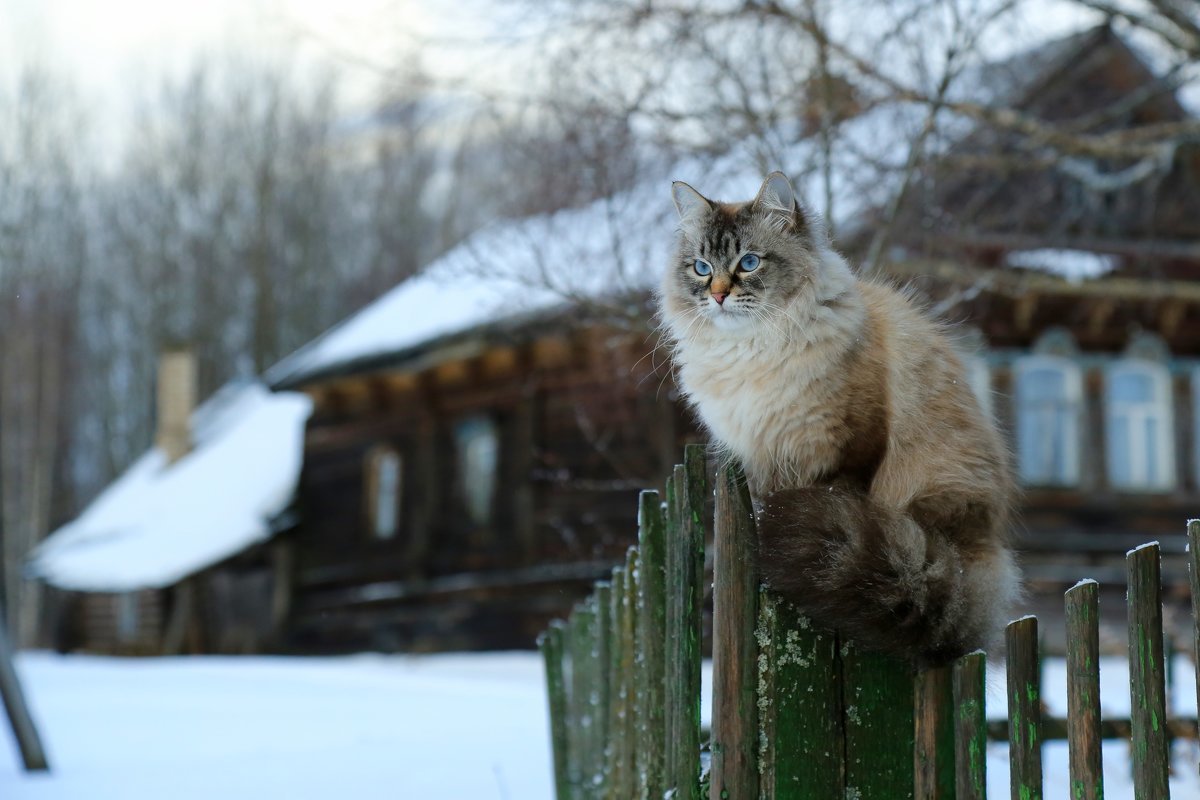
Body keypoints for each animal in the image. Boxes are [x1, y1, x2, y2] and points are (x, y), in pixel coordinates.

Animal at [662, 172, 1017, 666]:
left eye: (748, 263)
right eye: (700, 267)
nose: (717, 295)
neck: (752, 350)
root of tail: (976, 561)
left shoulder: (847, 448)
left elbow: (828, 496)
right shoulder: (760, 459)